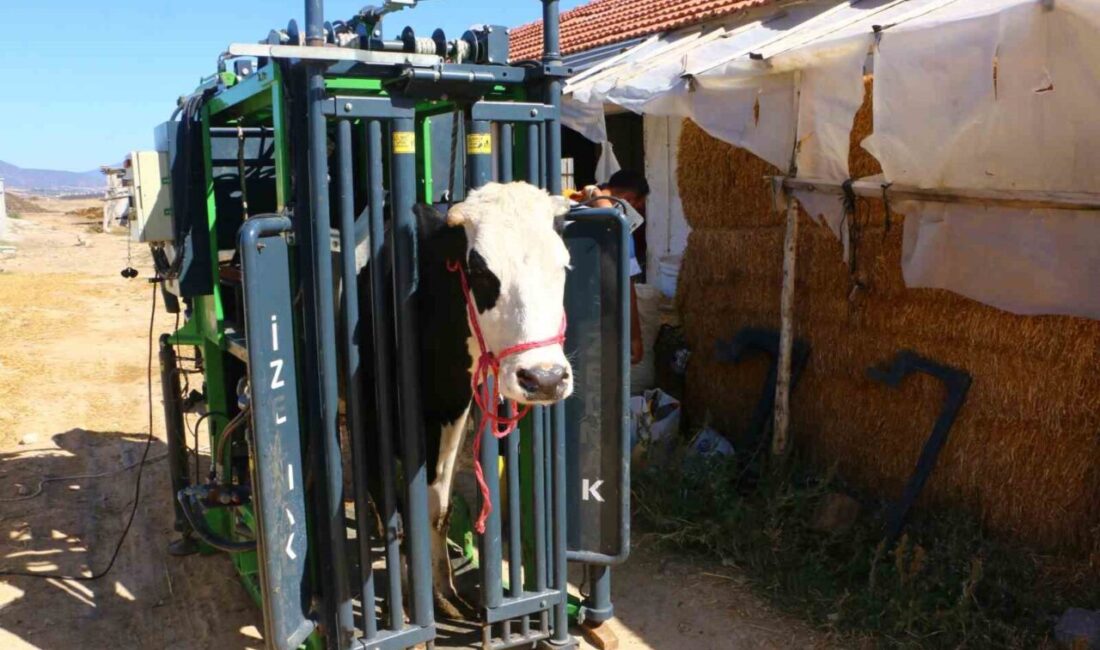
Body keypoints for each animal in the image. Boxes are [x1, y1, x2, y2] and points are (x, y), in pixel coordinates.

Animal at [360, 180, 576, 615]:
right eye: (479, 271)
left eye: (562, 266)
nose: (544, 378)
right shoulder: (376, 411)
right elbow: (393, 503)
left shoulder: (451, 408)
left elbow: (436, 507)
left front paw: (443, 593)